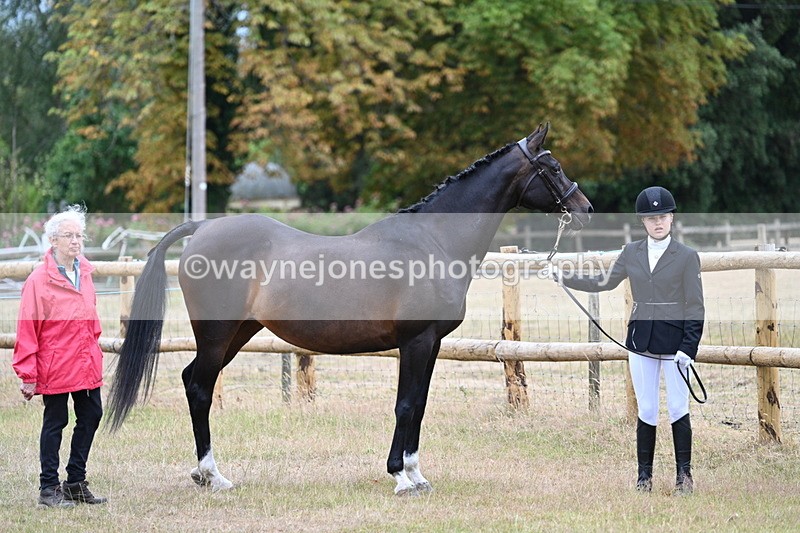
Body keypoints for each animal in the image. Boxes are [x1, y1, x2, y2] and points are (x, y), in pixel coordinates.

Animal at [107, 123, 593, 495]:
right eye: (552, 167)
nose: (585, 208)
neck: (434, 241)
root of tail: (203, 227)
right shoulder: (415, 342)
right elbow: (405, 404)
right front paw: (401, 477)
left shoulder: (432, 344)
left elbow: (419, 404)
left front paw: (416, 474)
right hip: (217, 334)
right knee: (199, 388)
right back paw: (214, 476)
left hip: (237, 333)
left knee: (194, 380)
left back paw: (202, 474)